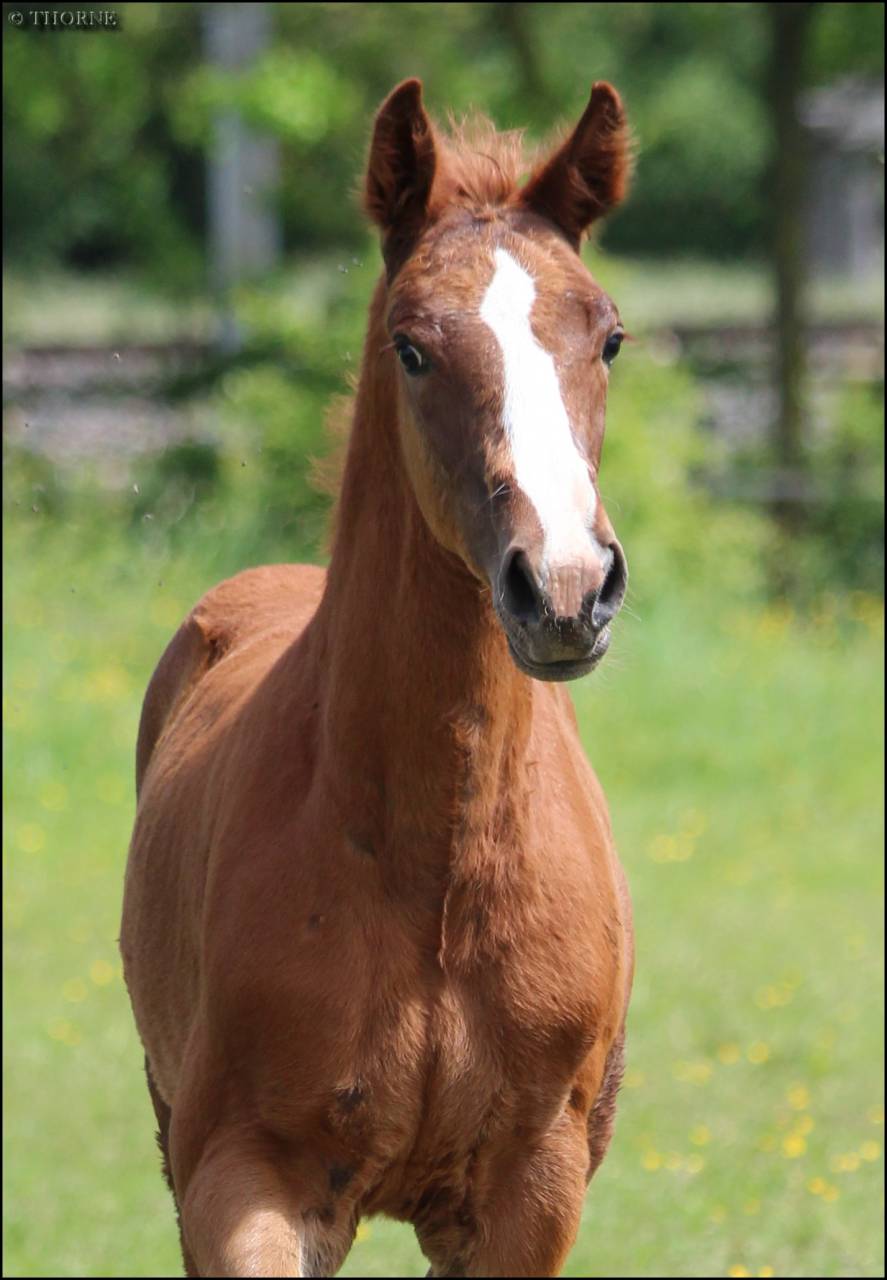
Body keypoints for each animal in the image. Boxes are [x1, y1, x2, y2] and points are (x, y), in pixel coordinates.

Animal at [121, 78, 635, 1278]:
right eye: (411, 347)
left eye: (608, 338)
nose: (564, 585)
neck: (435, 865)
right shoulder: (245, 1174)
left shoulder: (528, 1193)